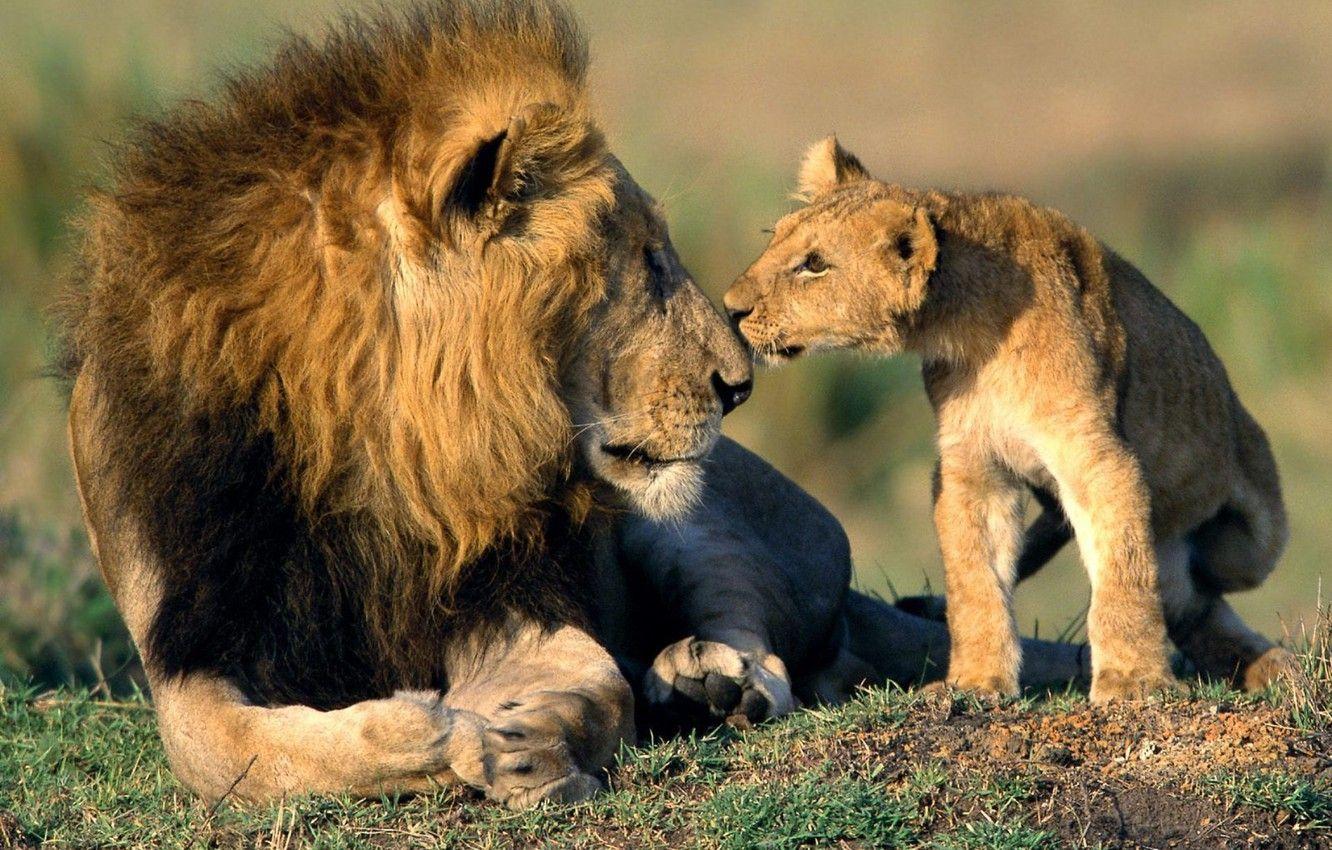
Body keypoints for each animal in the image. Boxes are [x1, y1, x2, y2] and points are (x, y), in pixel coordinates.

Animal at [55, 4, 1089, 808]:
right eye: (647, 262)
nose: (740, 384)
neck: (378, 451)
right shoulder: (187, 639)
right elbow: (220, 751)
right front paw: (425, 734)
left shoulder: (514, 592)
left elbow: (592, 681)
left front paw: (526, 734)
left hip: (699, 516)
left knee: (775, 646)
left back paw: (708, 684)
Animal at [725, 136, 1296, 703]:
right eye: (773, 240)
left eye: (814, 265)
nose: (730, 309)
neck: (972, 332)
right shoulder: (972, 467)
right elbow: (975, 583)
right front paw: (976, 681)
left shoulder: (1097, 457)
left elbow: (1124, 573)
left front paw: (1132, 680)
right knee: (1187, 603)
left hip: (1251, 542)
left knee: (1199, 589)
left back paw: (1274, 665)